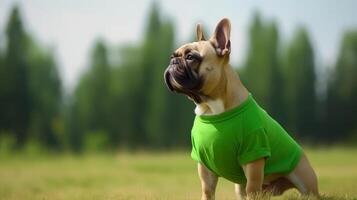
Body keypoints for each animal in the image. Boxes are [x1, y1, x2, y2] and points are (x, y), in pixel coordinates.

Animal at [163, 18, 318, 199]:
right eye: (172, 56)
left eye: (190, 57)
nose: (172, 62)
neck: (211, 108)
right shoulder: (203, 164)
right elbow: (207, 190)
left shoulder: (253, 155)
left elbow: (252, 187)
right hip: (241, 187)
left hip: (305, 182)